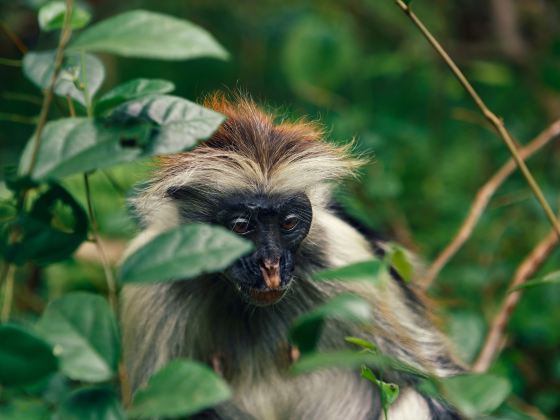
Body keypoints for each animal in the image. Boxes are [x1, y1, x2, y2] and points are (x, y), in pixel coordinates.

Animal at [122, 93, 464, 418]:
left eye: (288, 223)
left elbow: (441, 386)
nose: (271, 265)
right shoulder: (153, 276)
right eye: (241, 227)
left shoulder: (341, 255)